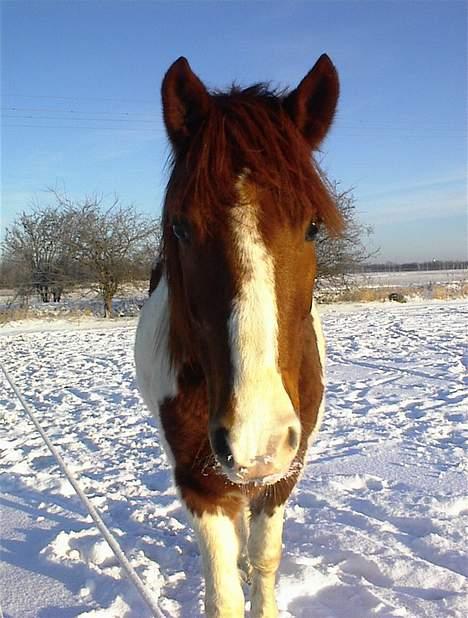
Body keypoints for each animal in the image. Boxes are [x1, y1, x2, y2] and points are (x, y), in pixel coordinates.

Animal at [133, 54, 342, 616]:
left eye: (313, 226)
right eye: (181, 227)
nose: (257, 439)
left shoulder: (285, 472)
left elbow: (267, 558)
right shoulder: (198, 483)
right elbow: (222, 594)